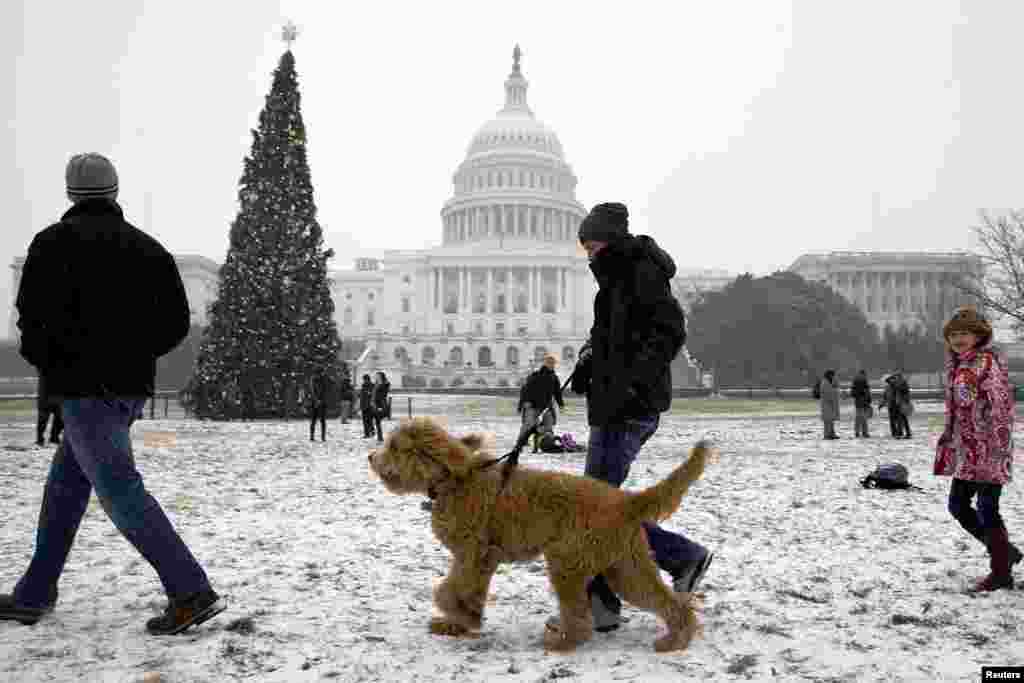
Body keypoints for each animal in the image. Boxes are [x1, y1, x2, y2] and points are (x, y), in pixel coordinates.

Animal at [368, 413, 712, 655]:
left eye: (396, 447)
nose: (371, 456)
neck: (456, 481)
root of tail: (625, 500)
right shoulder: (482, 560)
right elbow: (470, 591)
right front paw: (462, 622)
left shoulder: (475, 554)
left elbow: (449, 589)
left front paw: (456, 614)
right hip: (626, 567)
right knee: (668, 602)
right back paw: (676, 640)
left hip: (567, 562)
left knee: (580, 617)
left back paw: (562, 643)